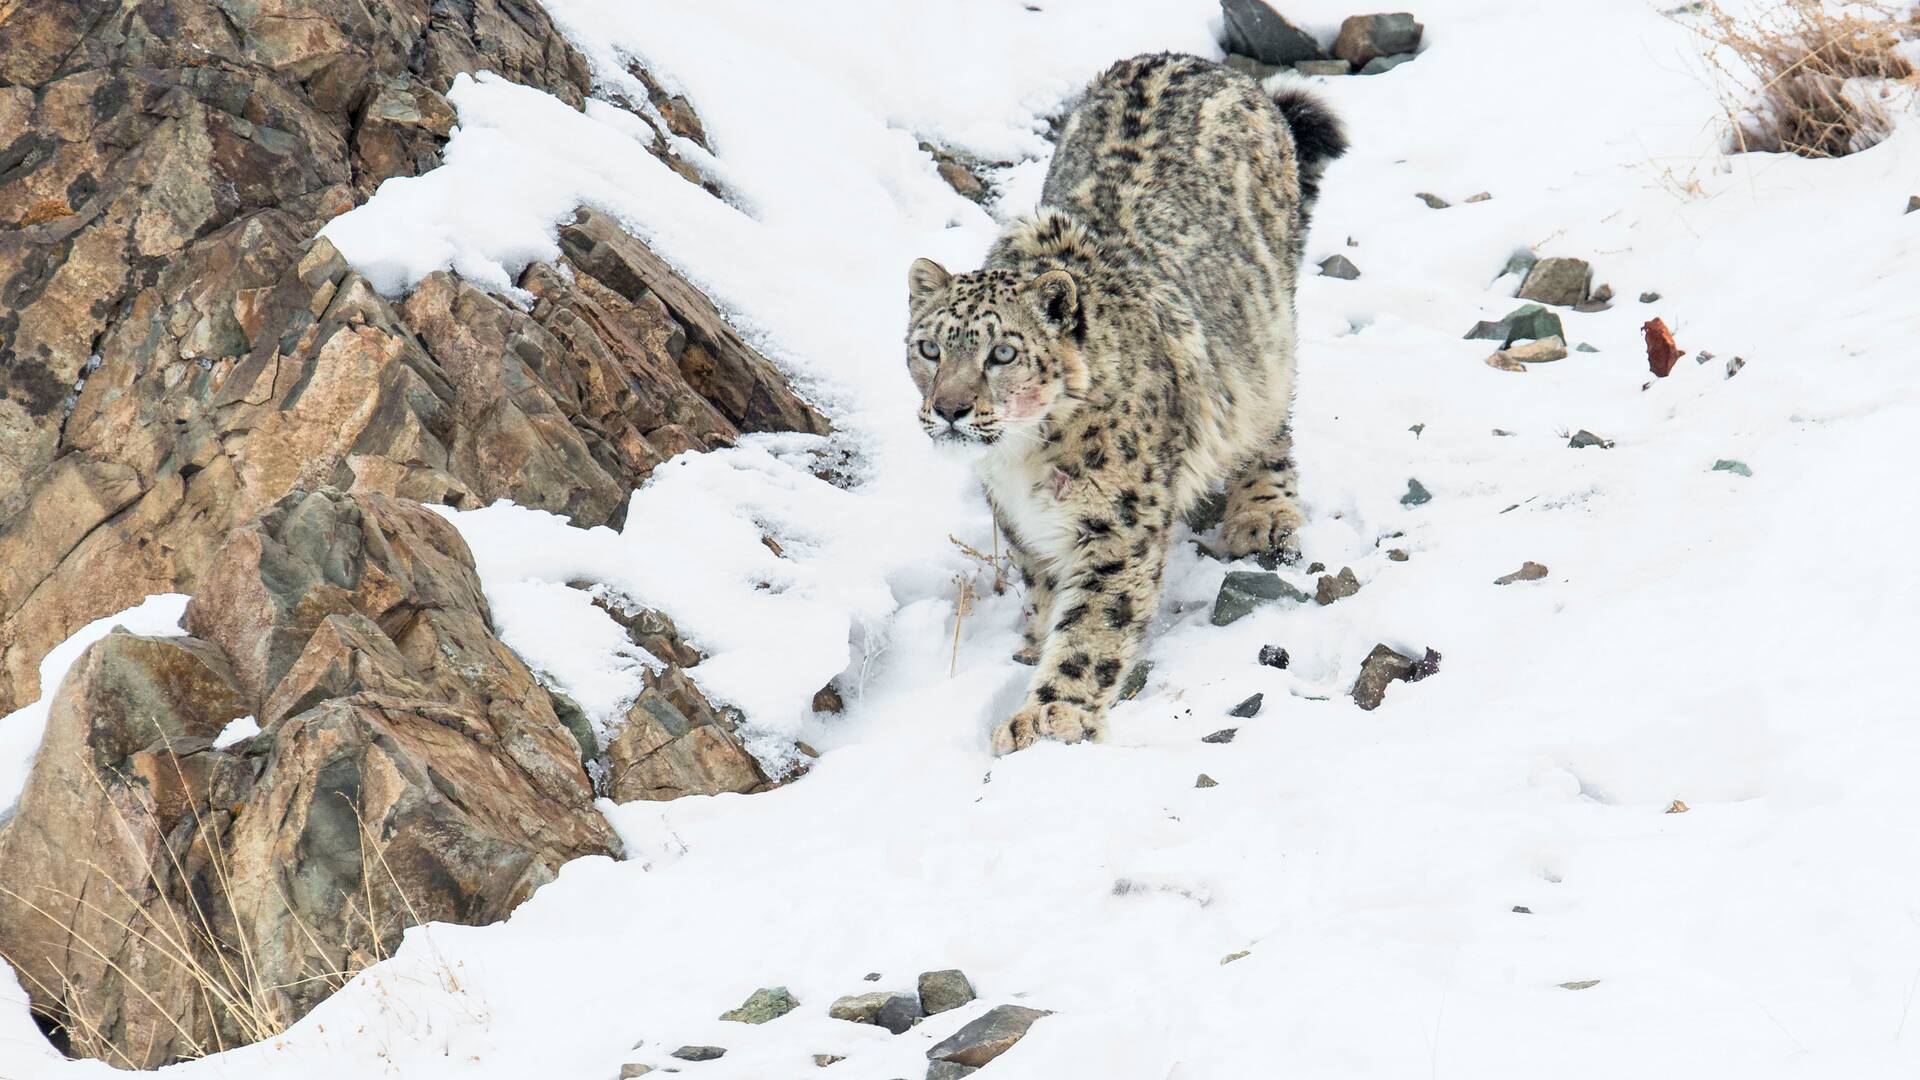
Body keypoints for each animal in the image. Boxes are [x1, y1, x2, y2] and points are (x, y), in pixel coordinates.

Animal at [906, 52, 1344, 749]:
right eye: (928, 347)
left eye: (1002, 353)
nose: (949, 408)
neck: (1023, 459)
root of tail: (1202, 62)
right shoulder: (1019, 521)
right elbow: (1045, 584)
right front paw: (1036, 642)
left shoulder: (1117, 521)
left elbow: (1094, 620)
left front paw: (1050, 716)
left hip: (1267, 342)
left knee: (1272, 419)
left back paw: (1261, 515)